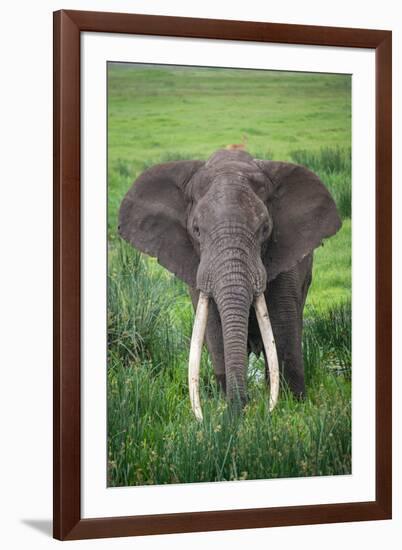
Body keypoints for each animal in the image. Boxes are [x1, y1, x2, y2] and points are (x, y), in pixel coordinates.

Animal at [118, 149, 340, 420]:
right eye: (196, 230)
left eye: (265, 229)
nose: (244, 406)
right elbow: (214, 325)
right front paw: (230, 414)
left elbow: (282, 324)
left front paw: (291, 407)